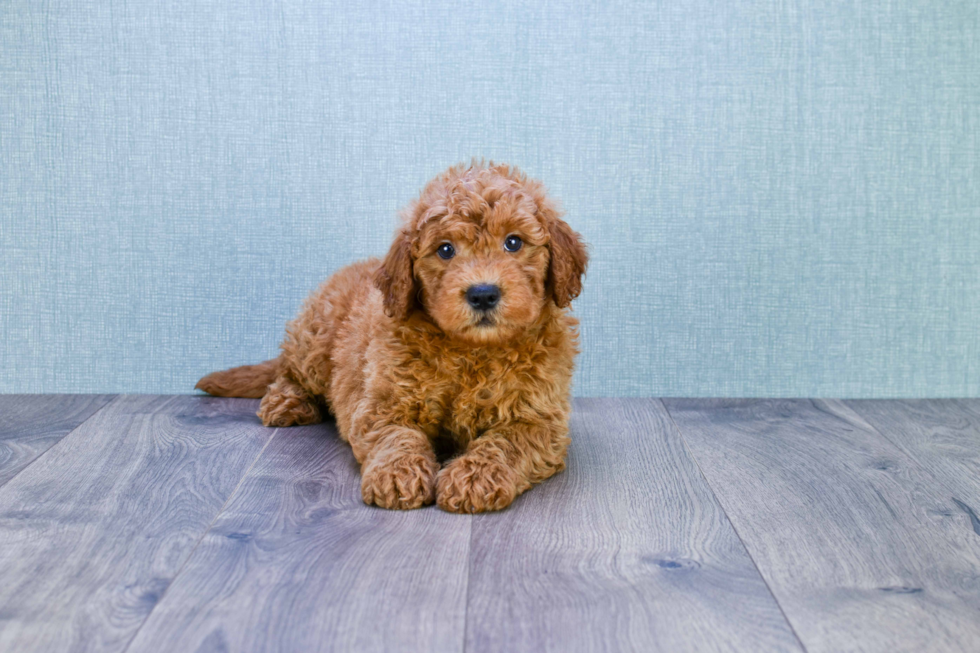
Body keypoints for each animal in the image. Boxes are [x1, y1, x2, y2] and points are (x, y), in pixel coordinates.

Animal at [195, 162, 584, 510]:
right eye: (445, 249)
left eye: (514, 242)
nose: (483, 293)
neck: (472, 351)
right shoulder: (381, 404)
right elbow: (398, 436)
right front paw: (399, 474)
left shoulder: (539, 418)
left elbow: (507, 443)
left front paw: (474, 476)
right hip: (314, 341)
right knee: (288, 372)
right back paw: (286, 401)